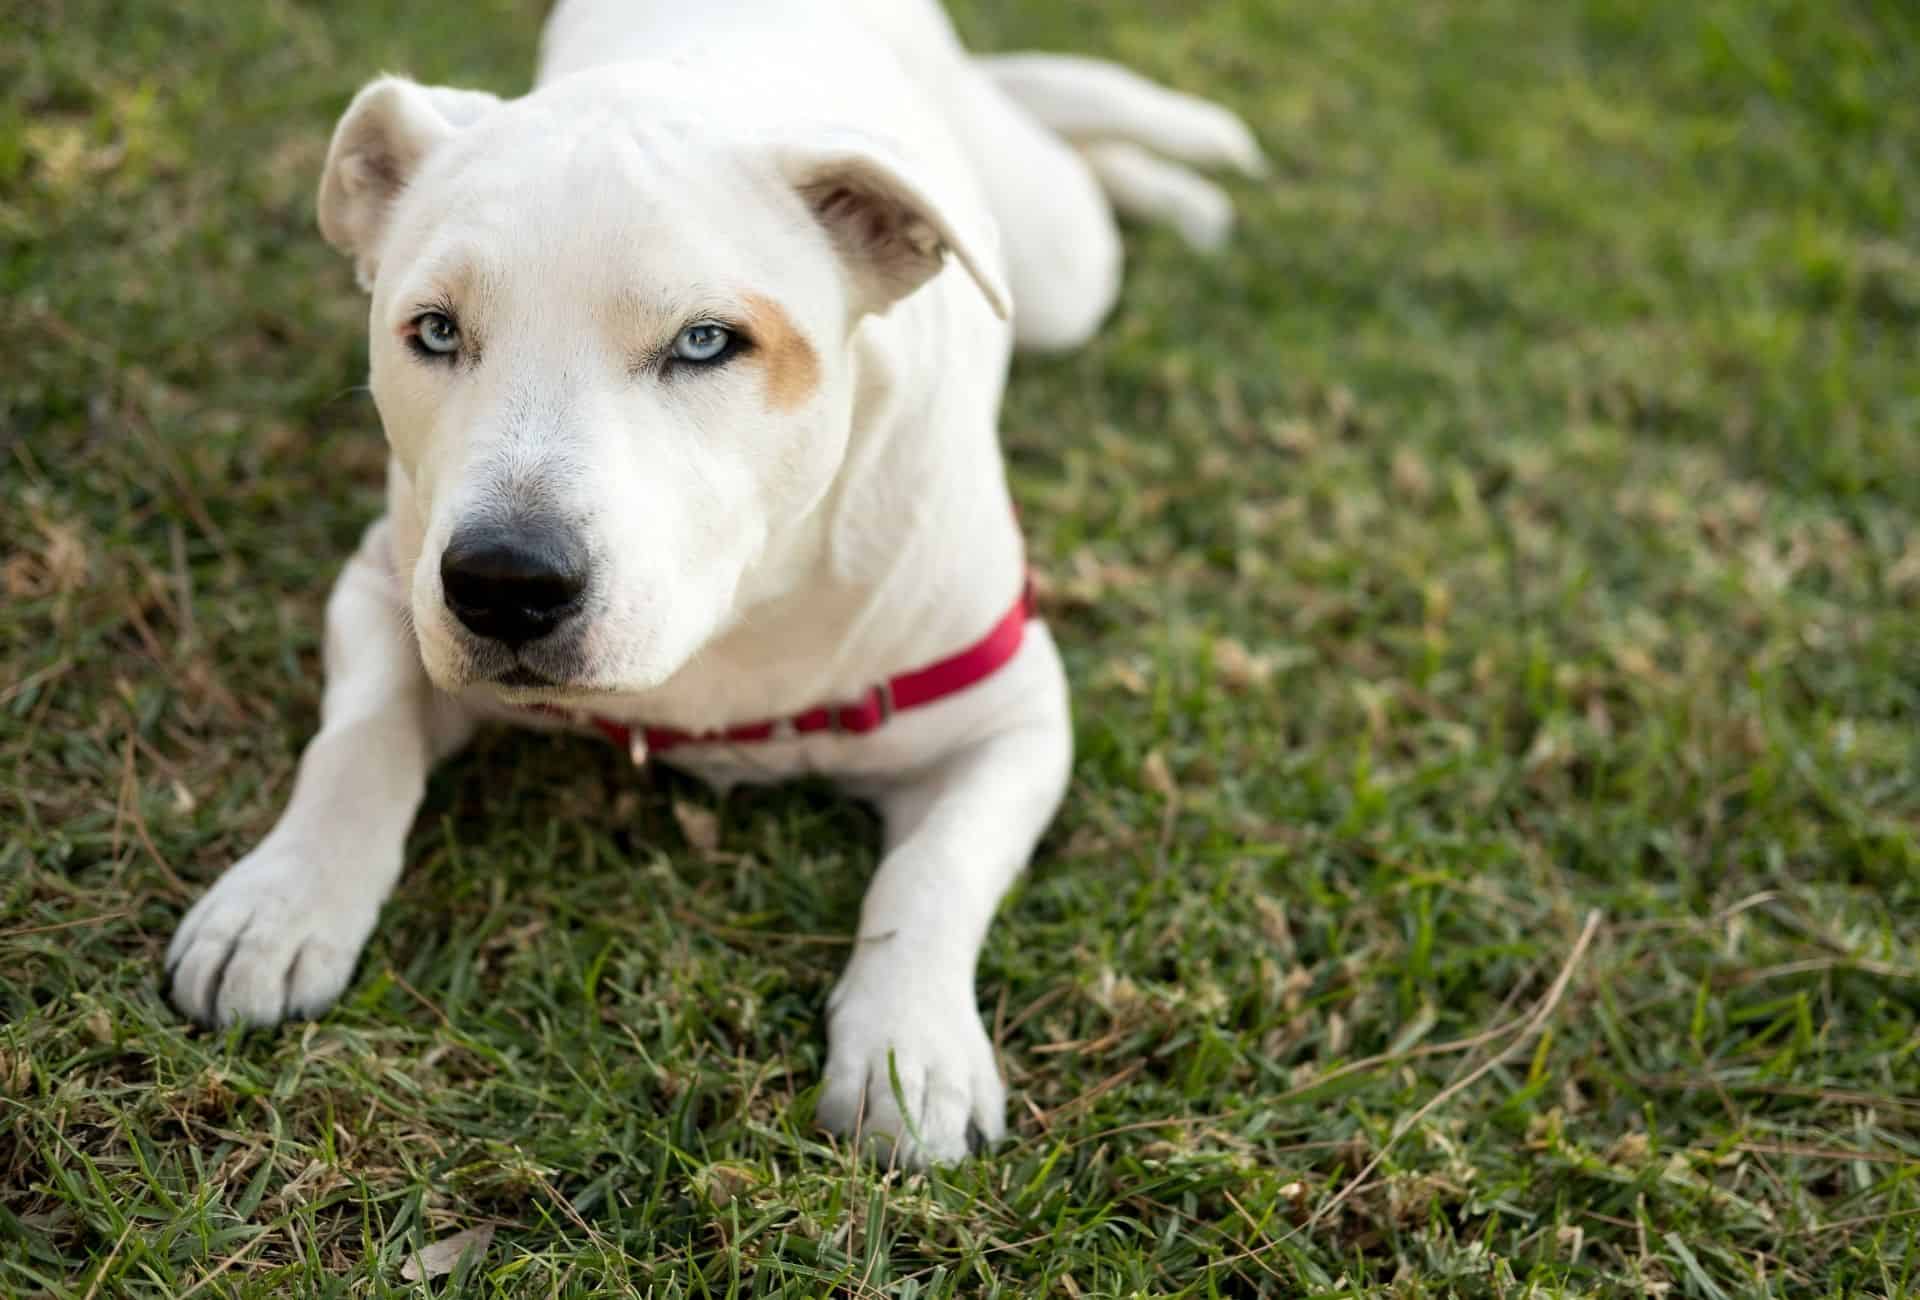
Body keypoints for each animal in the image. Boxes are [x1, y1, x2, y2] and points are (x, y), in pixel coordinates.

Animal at [165, 0, 1259, 1167]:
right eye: (436, 330)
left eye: (703, 342)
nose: (503, 582)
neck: (739, 612)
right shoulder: (387, 587)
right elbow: (356, 743)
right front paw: (281, 903)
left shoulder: (1012, 713)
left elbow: (934, 869)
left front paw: (909, 1047)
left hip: (1060, 272)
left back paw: (1179, 193)